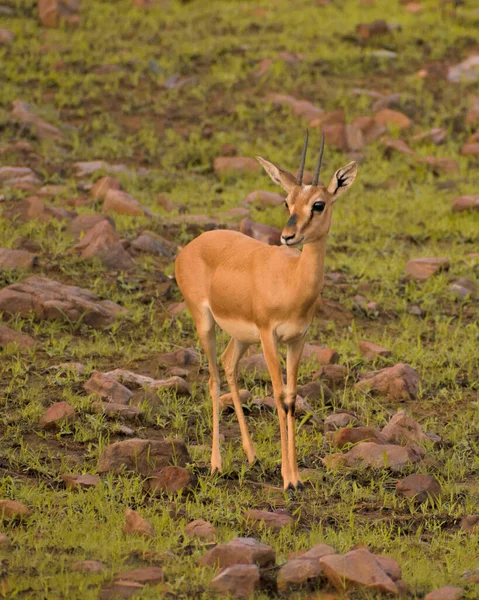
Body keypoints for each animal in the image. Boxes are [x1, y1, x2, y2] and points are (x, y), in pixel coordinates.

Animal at [175, 131, 356, 488]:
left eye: (318, 204)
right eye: (287, 202)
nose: (288, 236)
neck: (291, 280)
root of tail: (189, 248)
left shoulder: (297, 340)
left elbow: (291, 397)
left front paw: (295, 476)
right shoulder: (269, 336)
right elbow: (278, 395)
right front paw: (288, 480)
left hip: (242, 337)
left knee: (229, 365)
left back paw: (252, 455)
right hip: (205, 323)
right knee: (213, 379)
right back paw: (216, 464)